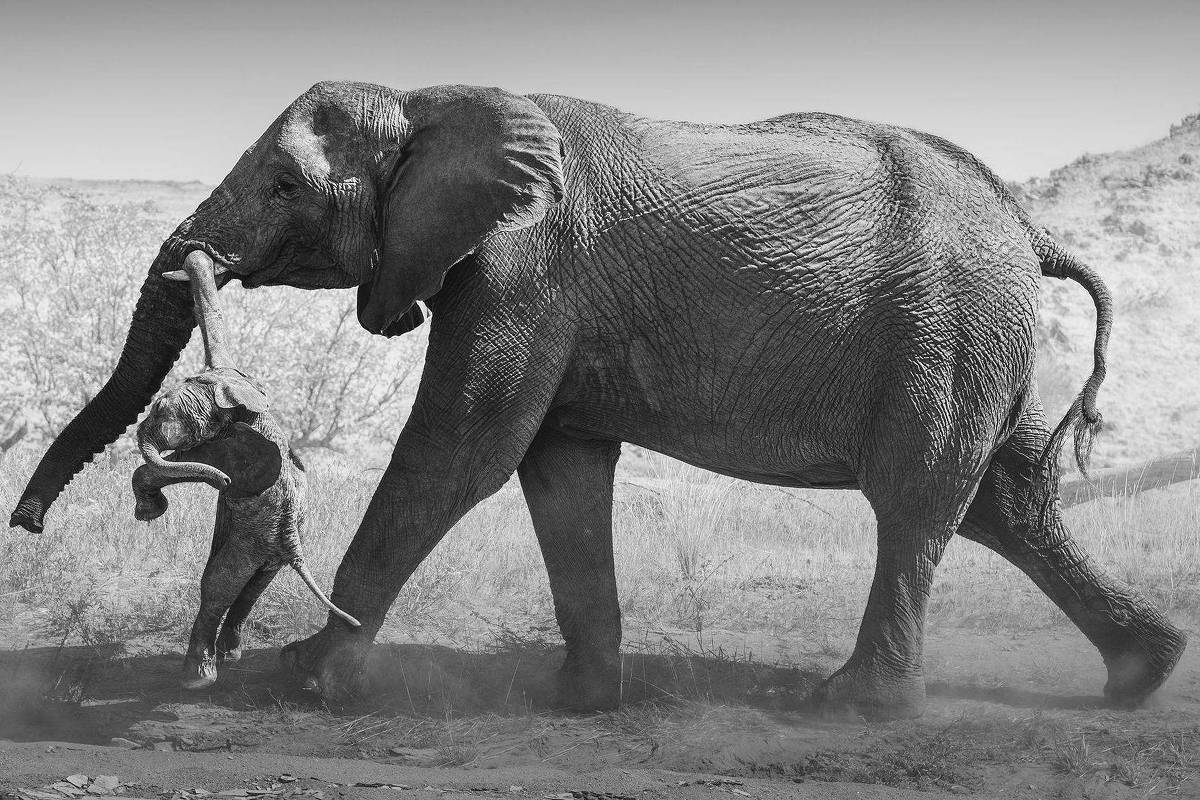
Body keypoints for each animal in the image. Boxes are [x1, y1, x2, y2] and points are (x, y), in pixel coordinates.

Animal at [132, 251, 359, 689]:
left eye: (163, 414)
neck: (227, 398)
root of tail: (292, 543)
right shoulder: (223, 374)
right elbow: (212, 319)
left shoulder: (229, 446)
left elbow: (182, 466)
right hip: (268, 547)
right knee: (253, 586)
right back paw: (229, 655)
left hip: (254, 539)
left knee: (219, 584)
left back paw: (198, 675)